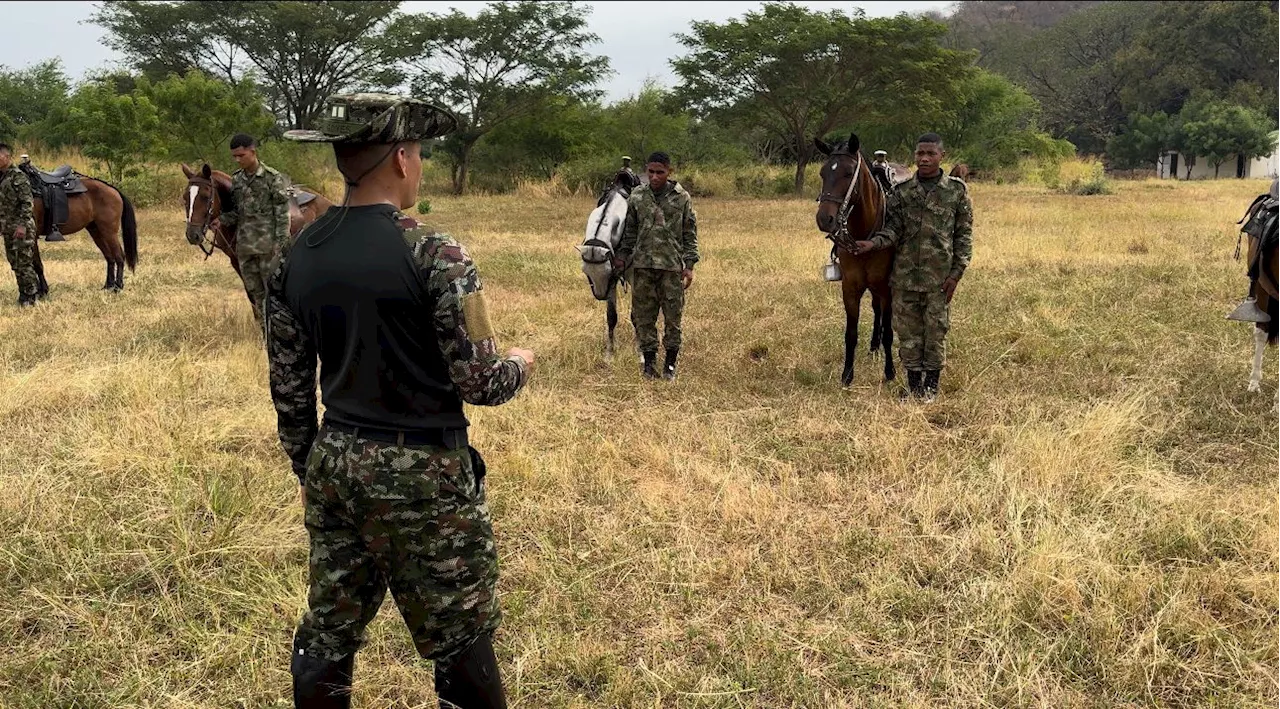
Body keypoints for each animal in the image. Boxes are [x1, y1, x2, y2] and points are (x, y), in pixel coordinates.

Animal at [578, 179, 632, 360]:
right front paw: (609, 352)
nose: (600, 295)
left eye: (607, 272)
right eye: (586, 272)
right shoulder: (613, 282)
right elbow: (611, 317)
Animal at [814, 132, 896, 386]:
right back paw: (873, 346)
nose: (824, 219)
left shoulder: (886, 288)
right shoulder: (850, 288)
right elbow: (850, 334)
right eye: (823, 172)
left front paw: (890, 372)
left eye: (848, 173)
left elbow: (889, 332)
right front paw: (847, 374)